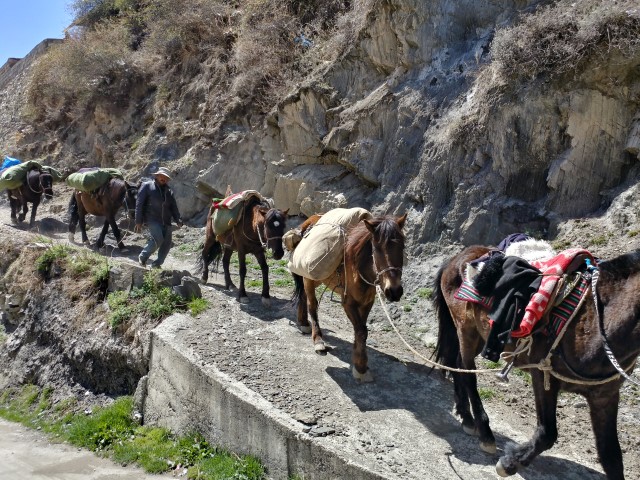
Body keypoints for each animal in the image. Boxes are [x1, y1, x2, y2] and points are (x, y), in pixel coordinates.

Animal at [292, 214, 408, 382]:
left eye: (402, 247)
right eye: (376, 248)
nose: (394, 291)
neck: (359, 268)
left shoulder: (367, 302)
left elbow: (362, 330)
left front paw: (358, 358)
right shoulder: (348, 303)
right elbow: (361, 331)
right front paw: (360, 367)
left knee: (302, 296)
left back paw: (303, 322)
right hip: (309, 277)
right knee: (312, 304)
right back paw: (318, 340)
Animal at [432, 246, 640, 478]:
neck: (596, 323)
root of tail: (458, 256)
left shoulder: (604, 397)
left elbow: (611, 457)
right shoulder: (543, 375)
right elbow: (547, 433)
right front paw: (510, 463)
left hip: (479, 335)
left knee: (457, 364)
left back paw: (466, 417)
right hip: (466, 330)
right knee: (467, 372)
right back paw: (485, 433)